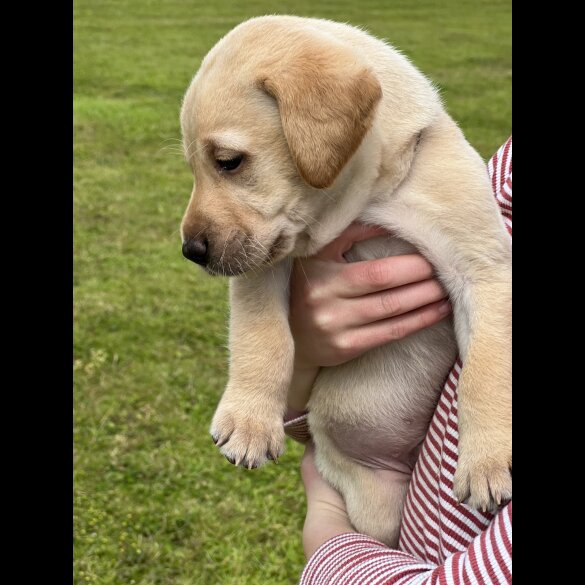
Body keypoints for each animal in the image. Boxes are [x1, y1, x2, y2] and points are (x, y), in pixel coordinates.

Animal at [179, 16, 512, 544]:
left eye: (228, 161)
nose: (190, 251)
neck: (372, 198)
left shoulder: (484, 269)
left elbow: (487, 371)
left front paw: (488, 460)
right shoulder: (263, 265)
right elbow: (262, 338)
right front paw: (249, 421)